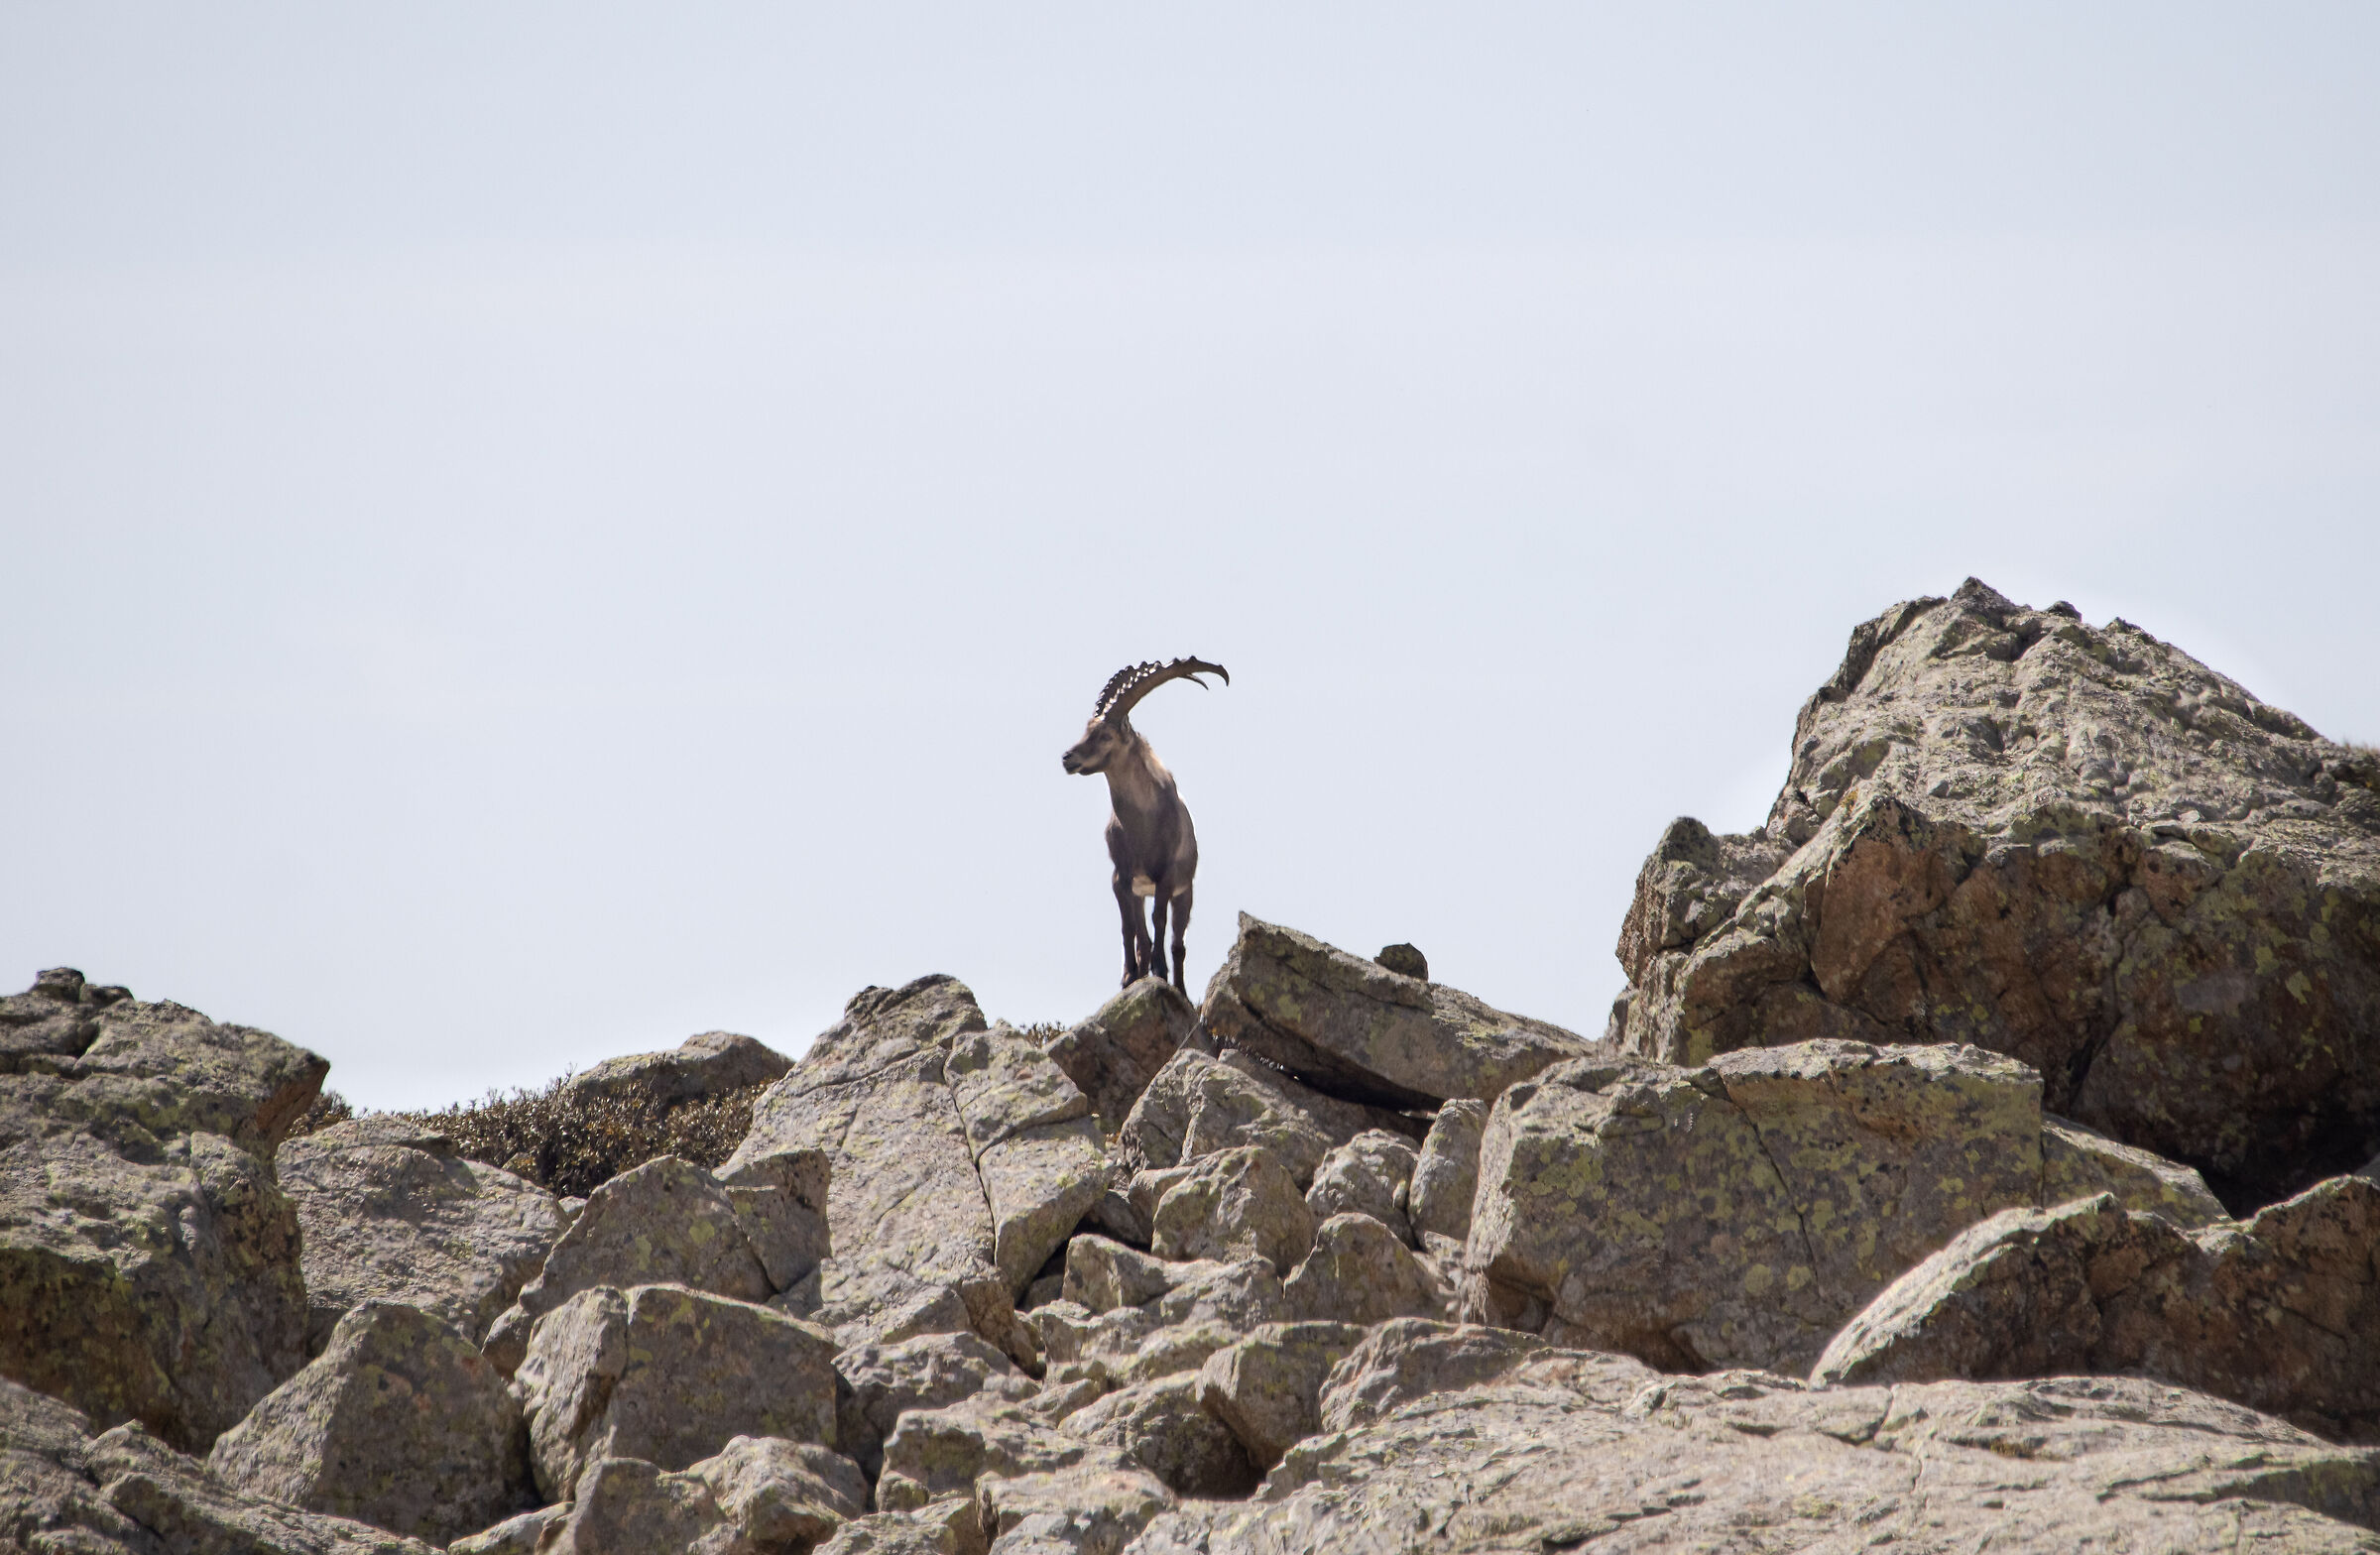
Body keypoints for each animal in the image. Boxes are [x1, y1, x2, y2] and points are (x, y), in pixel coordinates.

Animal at [1061, 657, 1229, 991]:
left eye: (1106, 736)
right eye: (1086, 730)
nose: (1067, 758)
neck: (1141, 826)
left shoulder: (1165, 877)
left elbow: (1157, 922)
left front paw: (1158, 970)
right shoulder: (1123, 879)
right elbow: (1131, 929)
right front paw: (1130, 976)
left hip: (1185, 893)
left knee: (1178, 943)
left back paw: (1179, 987)